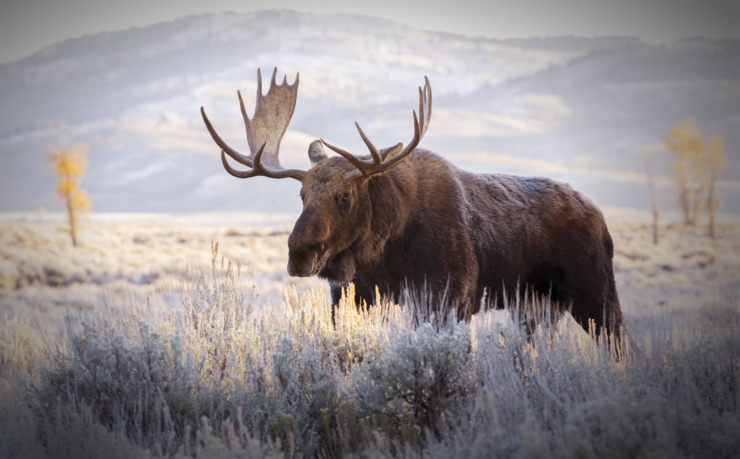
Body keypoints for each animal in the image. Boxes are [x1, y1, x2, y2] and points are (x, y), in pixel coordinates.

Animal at [201, 68, 624, 354]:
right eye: (301, 194)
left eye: (345, 196)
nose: (299, 254)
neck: (384, 249)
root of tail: (600, 217)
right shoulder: (353, 297)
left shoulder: (450, 299)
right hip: (536, 307)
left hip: (595, 294)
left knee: (621, 348)